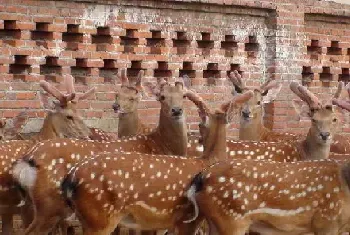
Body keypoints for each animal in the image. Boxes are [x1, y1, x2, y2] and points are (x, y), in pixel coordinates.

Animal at [12, 77, 201, 233]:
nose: (176, 110)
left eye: (184, 96)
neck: (159, 144)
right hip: (50, 205)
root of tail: (28, 159)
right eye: (162, 97)